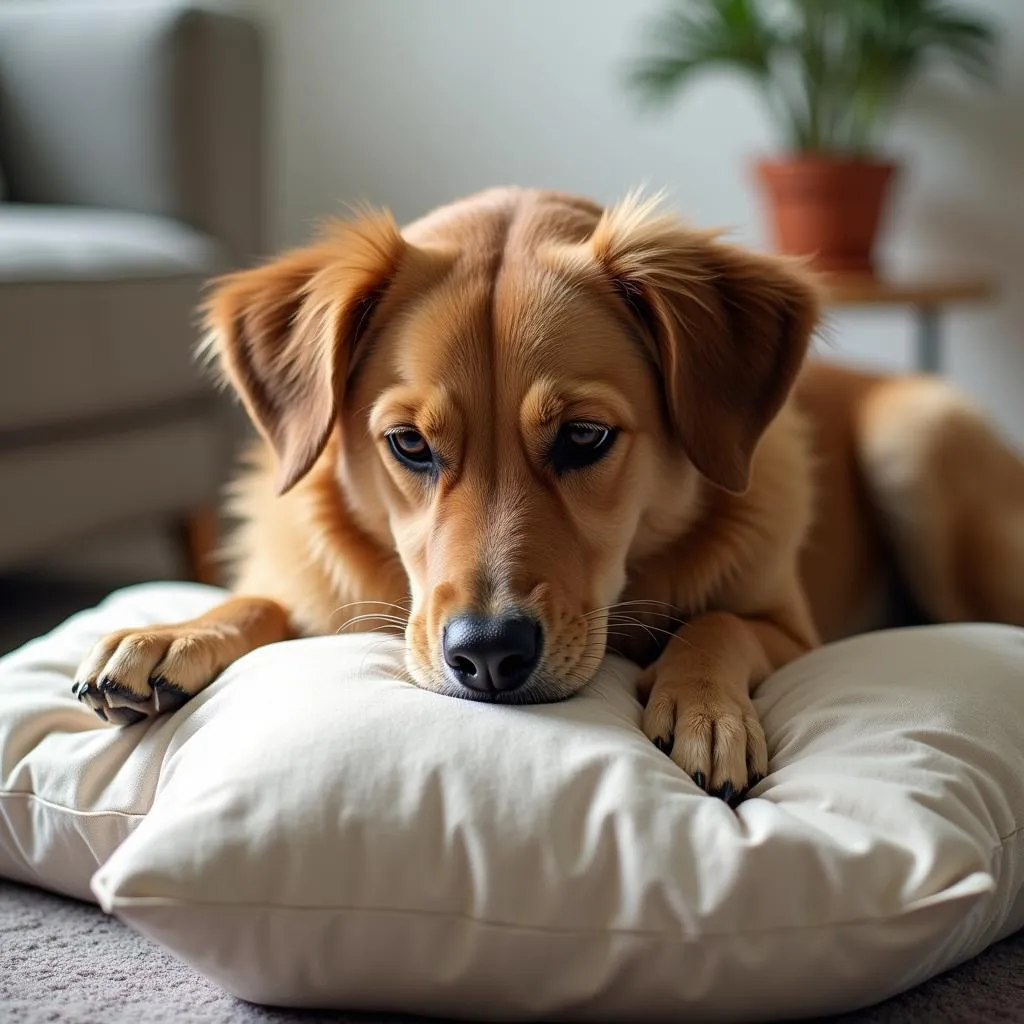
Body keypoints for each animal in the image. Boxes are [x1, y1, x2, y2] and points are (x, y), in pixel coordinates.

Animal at [72, 190, 1024, 798]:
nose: (488, 655)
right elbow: (263, 602)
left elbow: (717, 622)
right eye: (409, 445)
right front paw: (173, 632)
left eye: (585, 437)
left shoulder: (793, 630)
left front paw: (705, 710)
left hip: (918, 444)